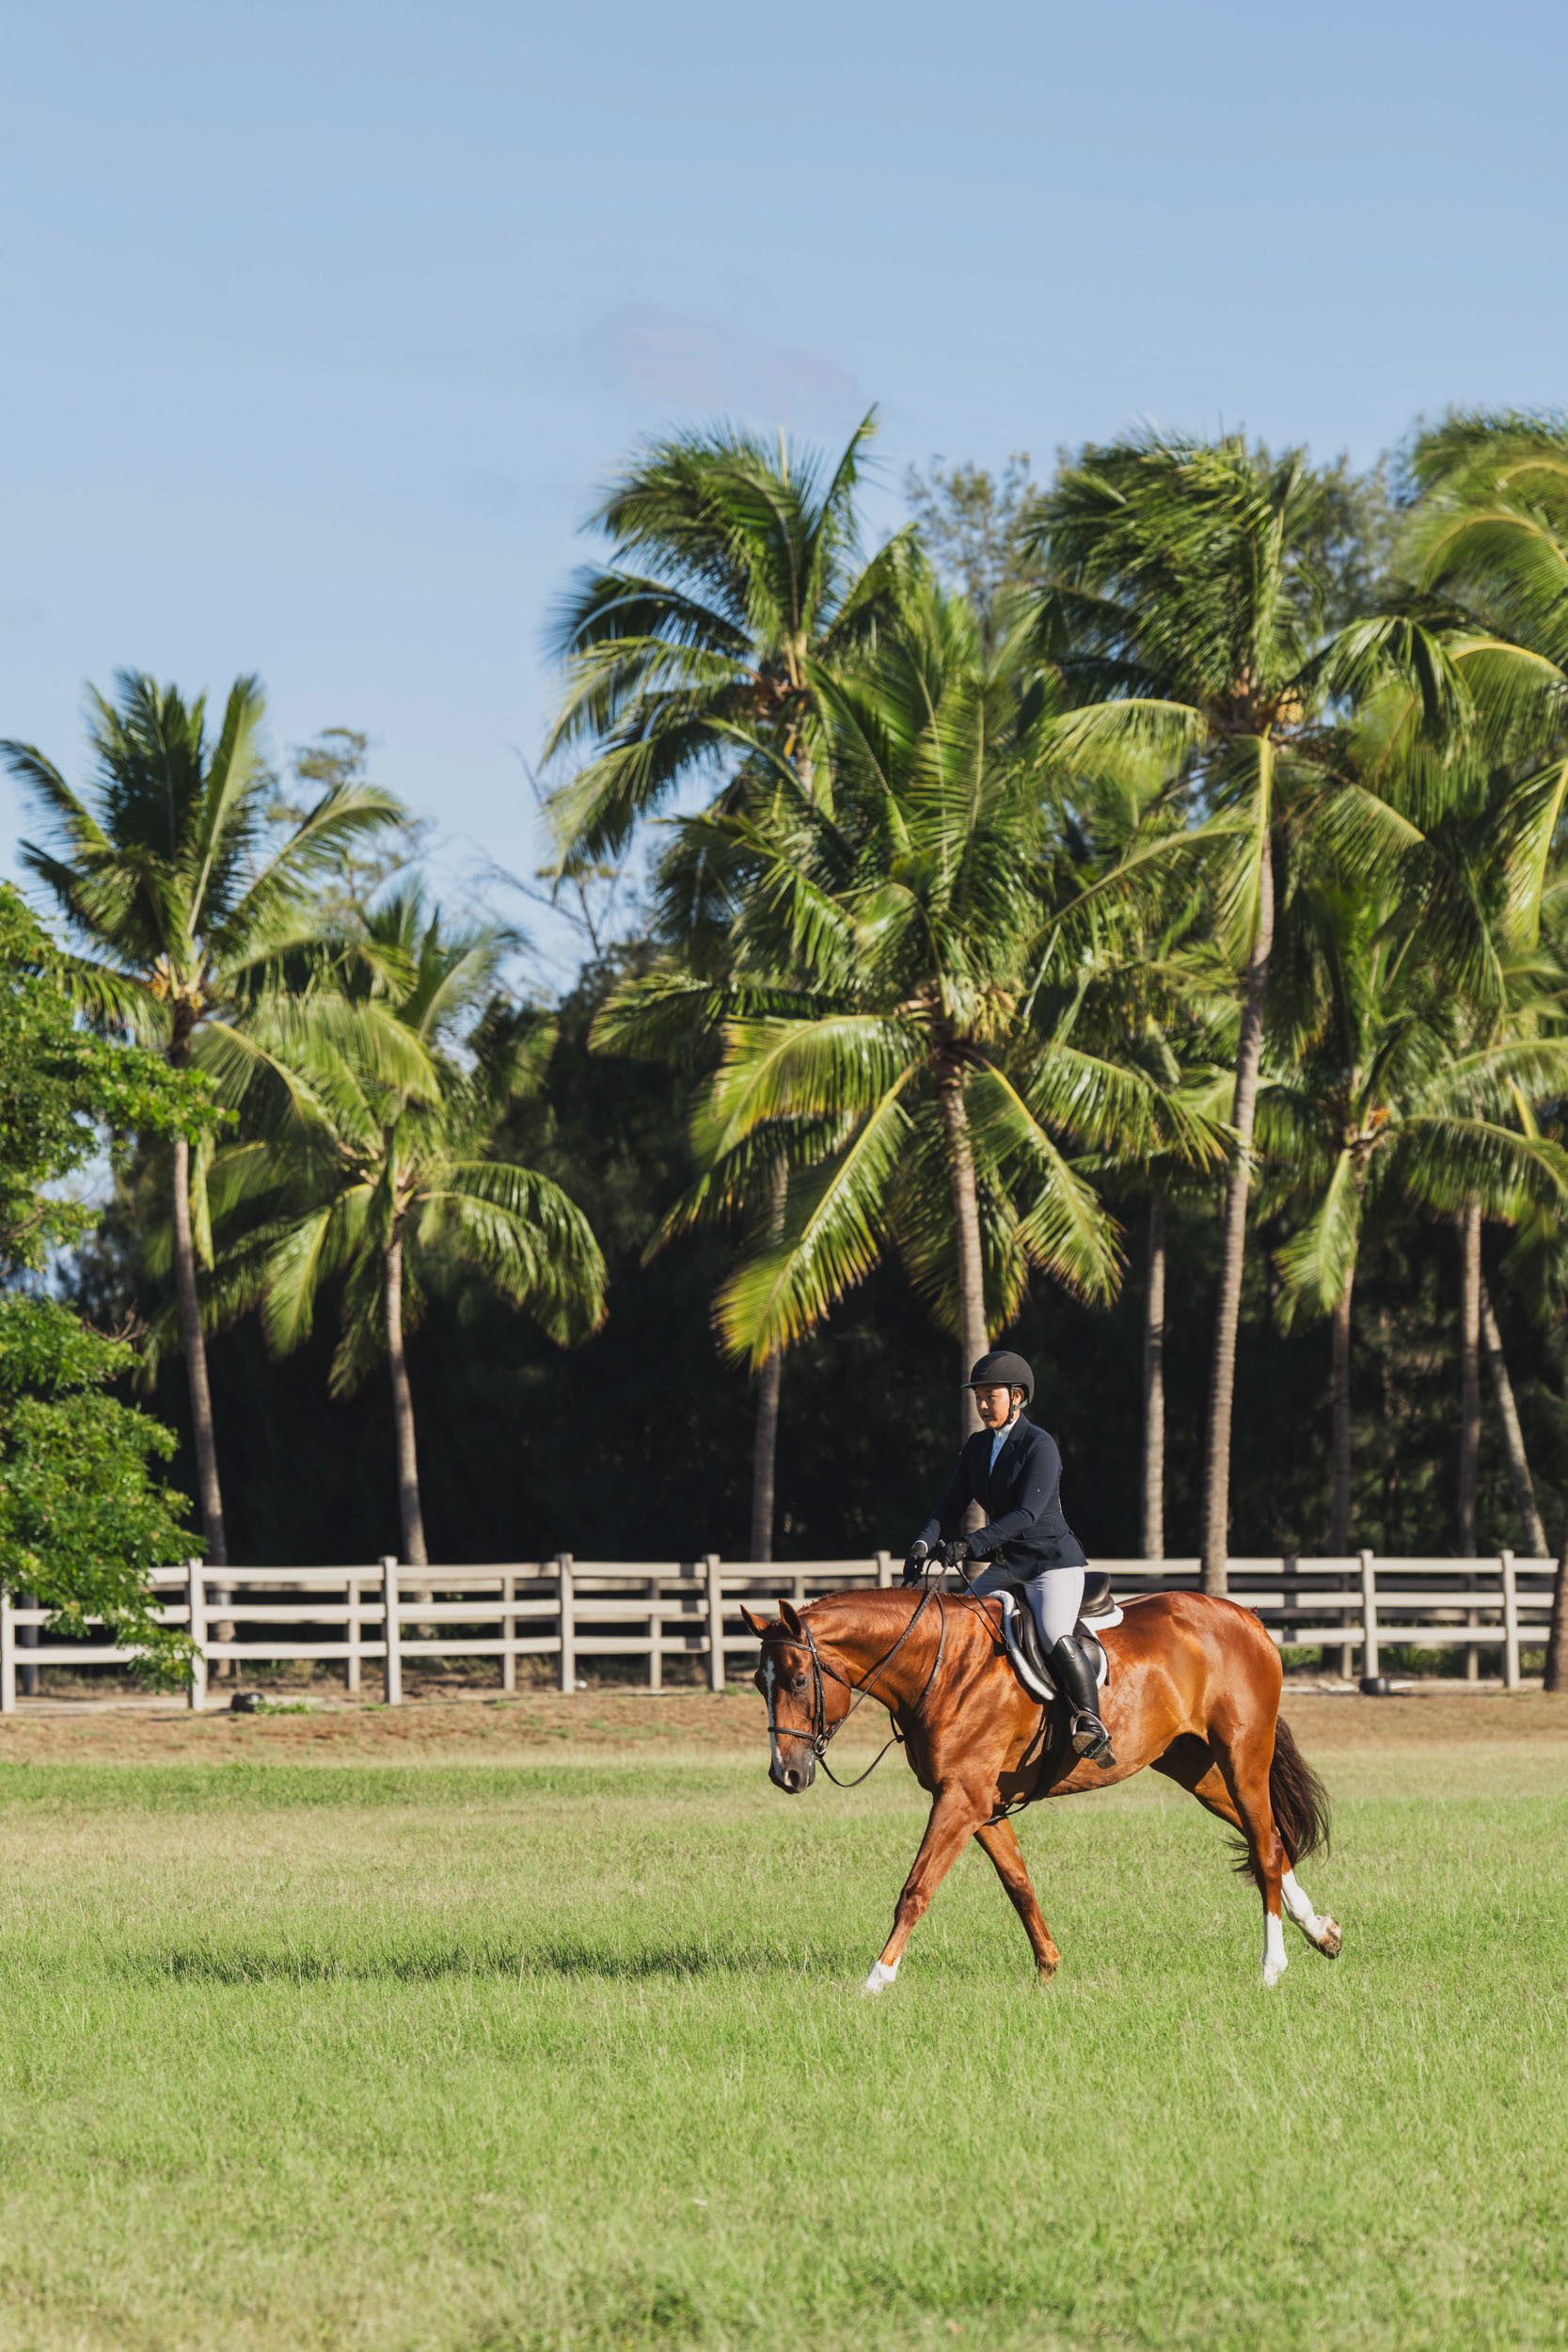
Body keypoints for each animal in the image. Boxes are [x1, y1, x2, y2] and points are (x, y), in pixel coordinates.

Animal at [742, 1581, 1344, 1985]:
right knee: (1271, 1840)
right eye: (758, 1682)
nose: (785, 1774)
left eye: (799, 1680)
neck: (944, 1663)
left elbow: (915, 1890)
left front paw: (875, 1981)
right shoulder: (980, 1803)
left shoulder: (961, 1800)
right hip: (1194, 1767)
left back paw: (1272, 1966)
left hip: (1242, 1757)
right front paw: (1048, 1967)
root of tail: (1247, 1616)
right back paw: (1321, 1932)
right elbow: (1018, 1883)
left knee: (1264, 1846)